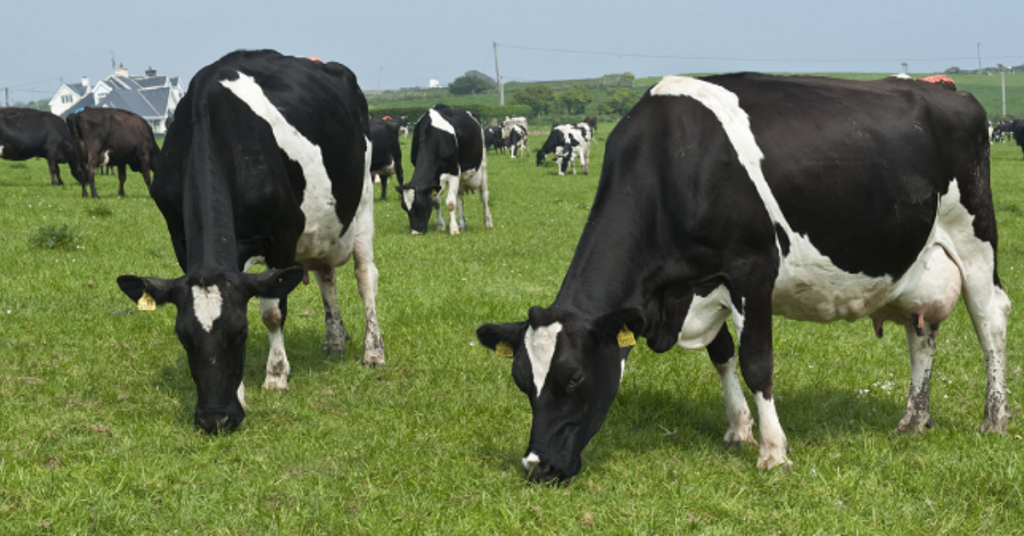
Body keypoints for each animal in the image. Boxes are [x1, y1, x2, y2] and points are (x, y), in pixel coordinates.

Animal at [113, 50, 385, 434]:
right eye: (183, 337)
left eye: (240, 333)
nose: (215, 418)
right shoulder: (181, 240)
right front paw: (240, 393)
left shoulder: (283, 235)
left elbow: (273, 312)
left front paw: (276, 376)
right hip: (321, 231)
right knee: (326, 277)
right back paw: (334, 342)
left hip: (362, 204)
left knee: (365, 277)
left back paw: (373, 351)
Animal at [397, 106, 493, 235]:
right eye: (404, 207)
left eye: (421, 204)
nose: (415, 232)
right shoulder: (434, 181)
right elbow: (437, 202)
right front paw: (441, 225)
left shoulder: (453, 173)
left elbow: (451, 203)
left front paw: (453, 229)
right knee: (459, 199)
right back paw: (462, 224)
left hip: (482, 167)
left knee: (484, 196)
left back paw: (488, 222)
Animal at [477, 72, 1007, 481]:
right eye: (522, 381)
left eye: (575, 377)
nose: (538, 466)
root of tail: (944, 89)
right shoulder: (704, 282)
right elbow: (721, 353)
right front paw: (738, 429)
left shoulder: (753, 269)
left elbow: (756, 362)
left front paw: (773, 451)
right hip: (917, 261)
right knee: (921, 333)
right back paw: (913, 420)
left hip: (974, 235)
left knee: (990, 318)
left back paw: (994, 418)